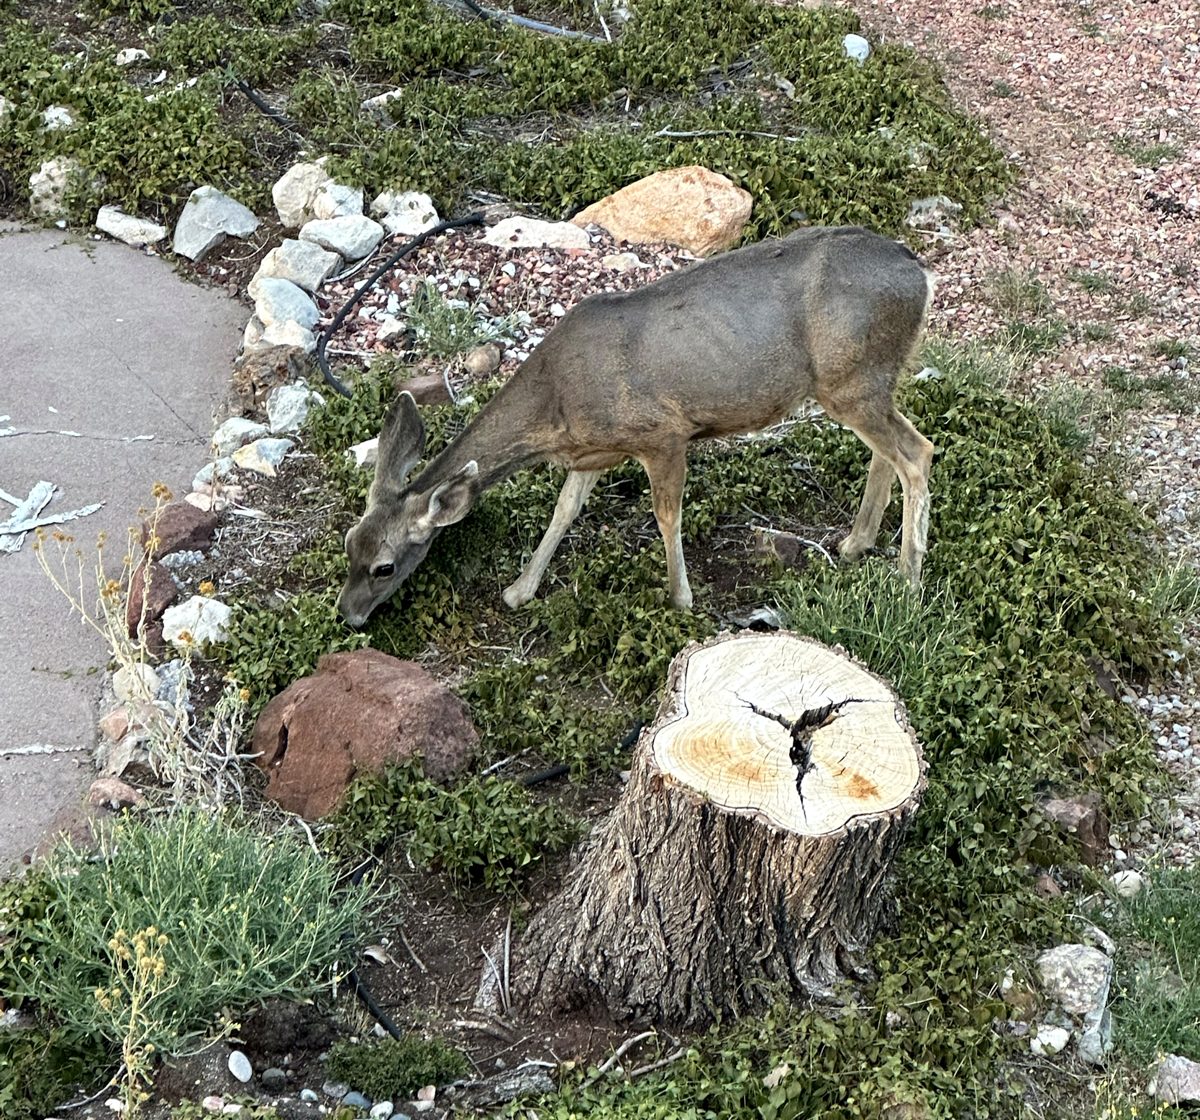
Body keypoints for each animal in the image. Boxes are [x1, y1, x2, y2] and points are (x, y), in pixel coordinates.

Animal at [336, 225, 935, 628]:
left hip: (848, 382)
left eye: (384, 567)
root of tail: (919, 269)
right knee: (891, 449)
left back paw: (907, 579)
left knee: (918, 452)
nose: (346, 615)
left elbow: (667, 516)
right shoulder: (592, 452)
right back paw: (855, 543)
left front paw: (680, 598)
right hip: (871, 378)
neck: (557, 406)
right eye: (348, 545)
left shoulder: (662, 433)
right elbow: (564, 511)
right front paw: (519, 590)